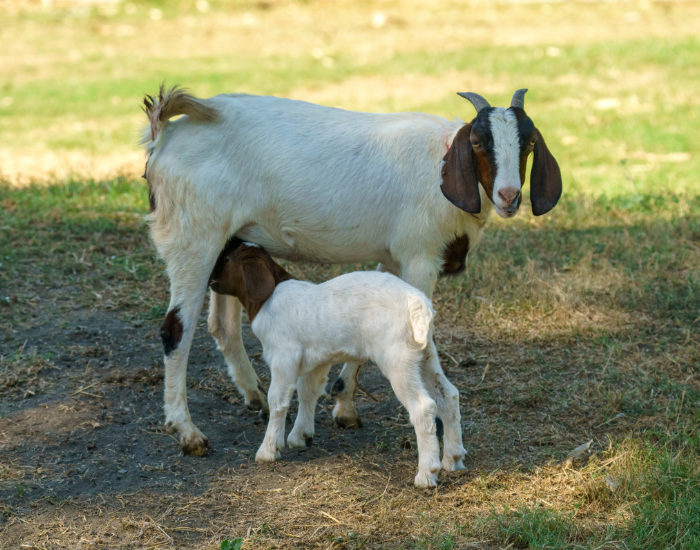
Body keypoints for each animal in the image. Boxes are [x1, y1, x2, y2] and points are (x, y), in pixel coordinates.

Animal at [142, 85, 562, 456]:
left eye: (529, 144)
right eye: (476, 143)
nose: (509, 196)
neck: (440, 162)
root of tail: (167, 133)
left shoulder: (391, 258)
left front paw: (343, 404)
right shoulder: (420, 257)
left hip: (225, 242)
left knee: (222, 326)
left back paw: (255, 397)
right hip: (192, 238)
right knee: (175, 331)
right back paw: (188, 433)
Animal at [208, 238, 464, 487]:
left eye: (227, 259)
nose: (210, 281)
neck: (267, 300)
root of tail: (418, 303)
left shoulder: (284, 357)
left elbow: (277, 400)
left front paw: (268, 450)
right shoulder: (315, 361)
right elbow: (307, 392)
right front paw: (300, 436)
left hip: (398, 358)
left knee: (424, 407)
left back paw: (427, 474)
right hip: (425, 354)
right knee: (448, 396)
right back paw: (453, 459)